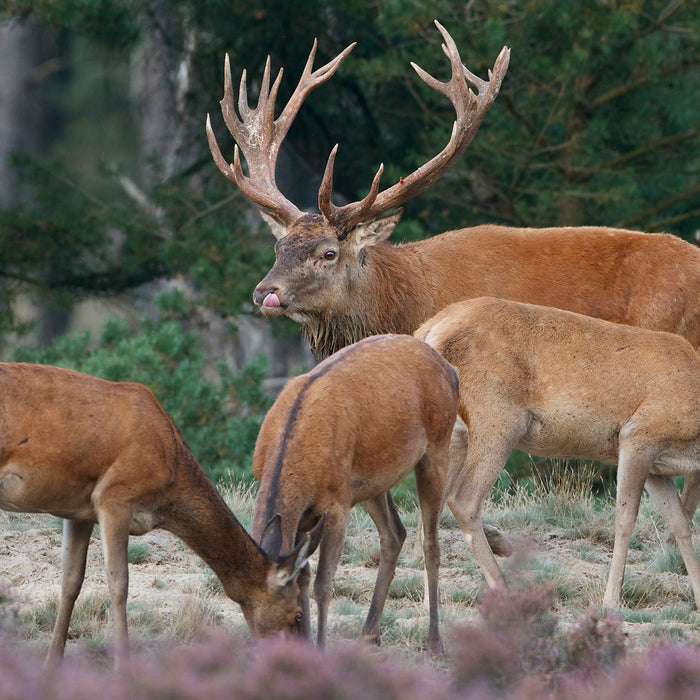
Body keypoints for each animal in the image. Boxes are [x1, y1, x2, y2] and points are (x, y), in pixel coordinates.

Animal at [0, 364, 322, 668]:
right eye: (297, 614)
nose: (292, 660)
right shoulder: (114, 497)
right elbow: (119, 584)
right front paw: (123, 669)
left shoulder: (78, 510)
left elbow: (70, 582)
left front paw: (50, 667)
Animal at [250, 336, 460, 652]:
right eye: (246, 612)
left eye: (290, 615)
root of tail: (451, 371)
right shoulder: (303, 518)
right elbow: (303, 577)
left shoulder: (337, 503)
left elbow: (323, 584)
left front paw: (320, 648)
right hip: (372, 482)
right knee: (394, 534)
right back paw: (369, 633)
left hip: (436, 447)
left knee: (431, 544)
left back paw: (435, 642)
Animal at [416, 298, 700, 608]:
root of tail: (430, 329)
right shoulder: (638, 436)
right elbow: (625, 520)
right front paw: (611, 600)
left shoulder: (657, 468)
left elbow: (681, 523)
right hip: (497, 419)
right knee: (463, 500)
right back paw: (504, 589)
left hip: (456, 434)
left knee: (430, 511)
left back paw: (433, 605)